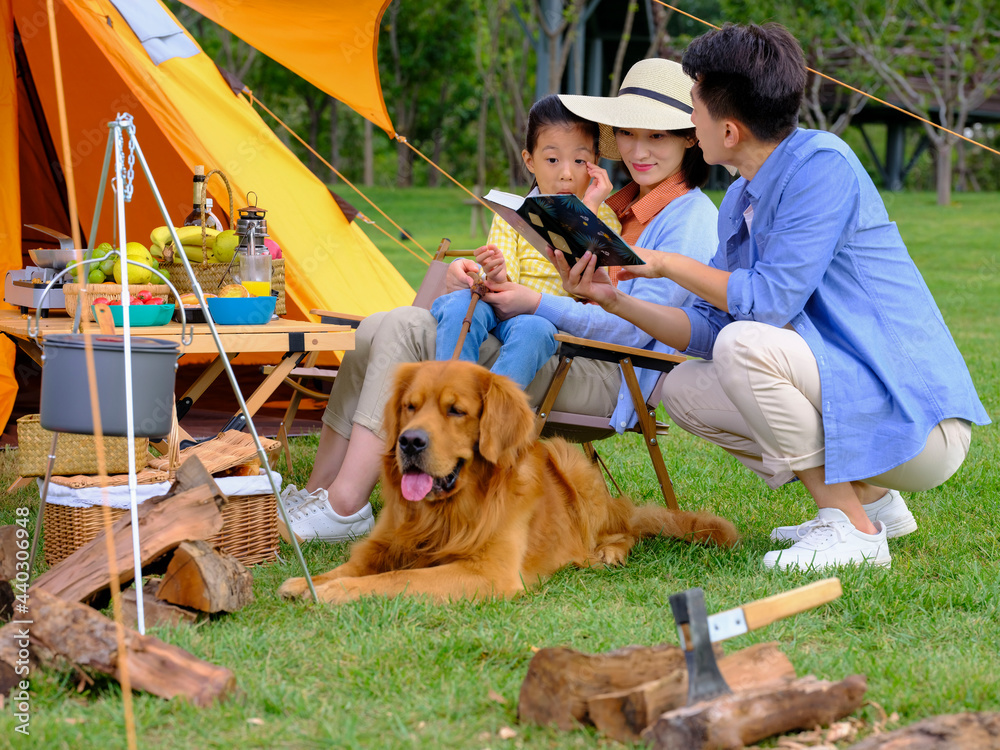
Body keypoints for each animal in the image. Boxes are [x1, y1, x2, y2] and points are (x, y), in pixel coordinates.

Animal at [278, 360, 740, 604]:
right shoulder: (385, 546)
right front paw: (310, 582)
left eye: (456, 410)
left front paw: (335, 592)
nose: (409, 442)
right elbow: (350, 567)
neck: (445, 512)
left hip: (569, 460)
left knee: (623, 529)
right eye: (410, 406)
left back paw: (606, 552)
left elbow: (392, 580)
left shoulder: (488, 572)